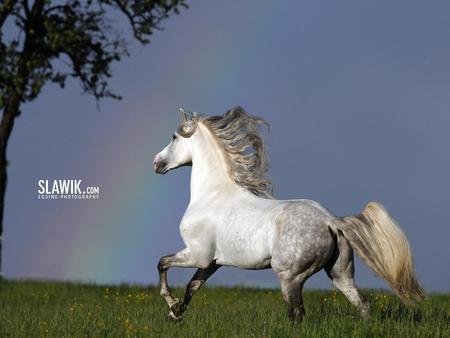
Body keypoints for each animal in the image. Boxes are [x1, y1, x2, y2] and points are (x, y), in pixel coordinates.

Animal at [153, 107, 424, 322]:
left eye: (174, 137)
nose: (156, 163)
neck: (212, 194)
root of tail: (330, 221)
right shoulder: (212, 263)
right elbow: (192, 287)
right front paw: (175, 314)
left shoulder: (197, 255)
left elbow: (162, 263)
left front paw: (171, 304)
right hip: (340, 273)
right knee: (362, 304)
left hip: (290, 276)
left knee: (297, 313)